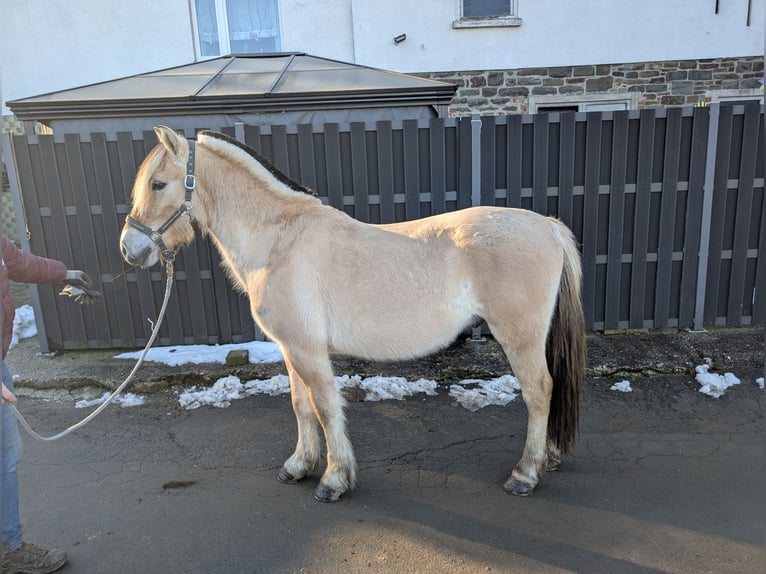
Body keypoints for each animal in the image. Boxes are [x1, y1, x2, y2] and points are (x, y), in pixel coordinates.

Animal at [120, 127, 588, 504]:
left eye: (159, 184)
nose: (129, 248)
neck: (279, 240)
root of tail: (547, 226)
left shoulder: (309, 350)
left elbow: (326, 407)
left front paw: (333, 480)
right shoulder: (291, 348)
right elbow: (300, 405)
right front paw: (298, 466)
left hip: (519, 337)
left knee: (539, 391)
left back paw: (525, 475)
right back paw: (547, 458)